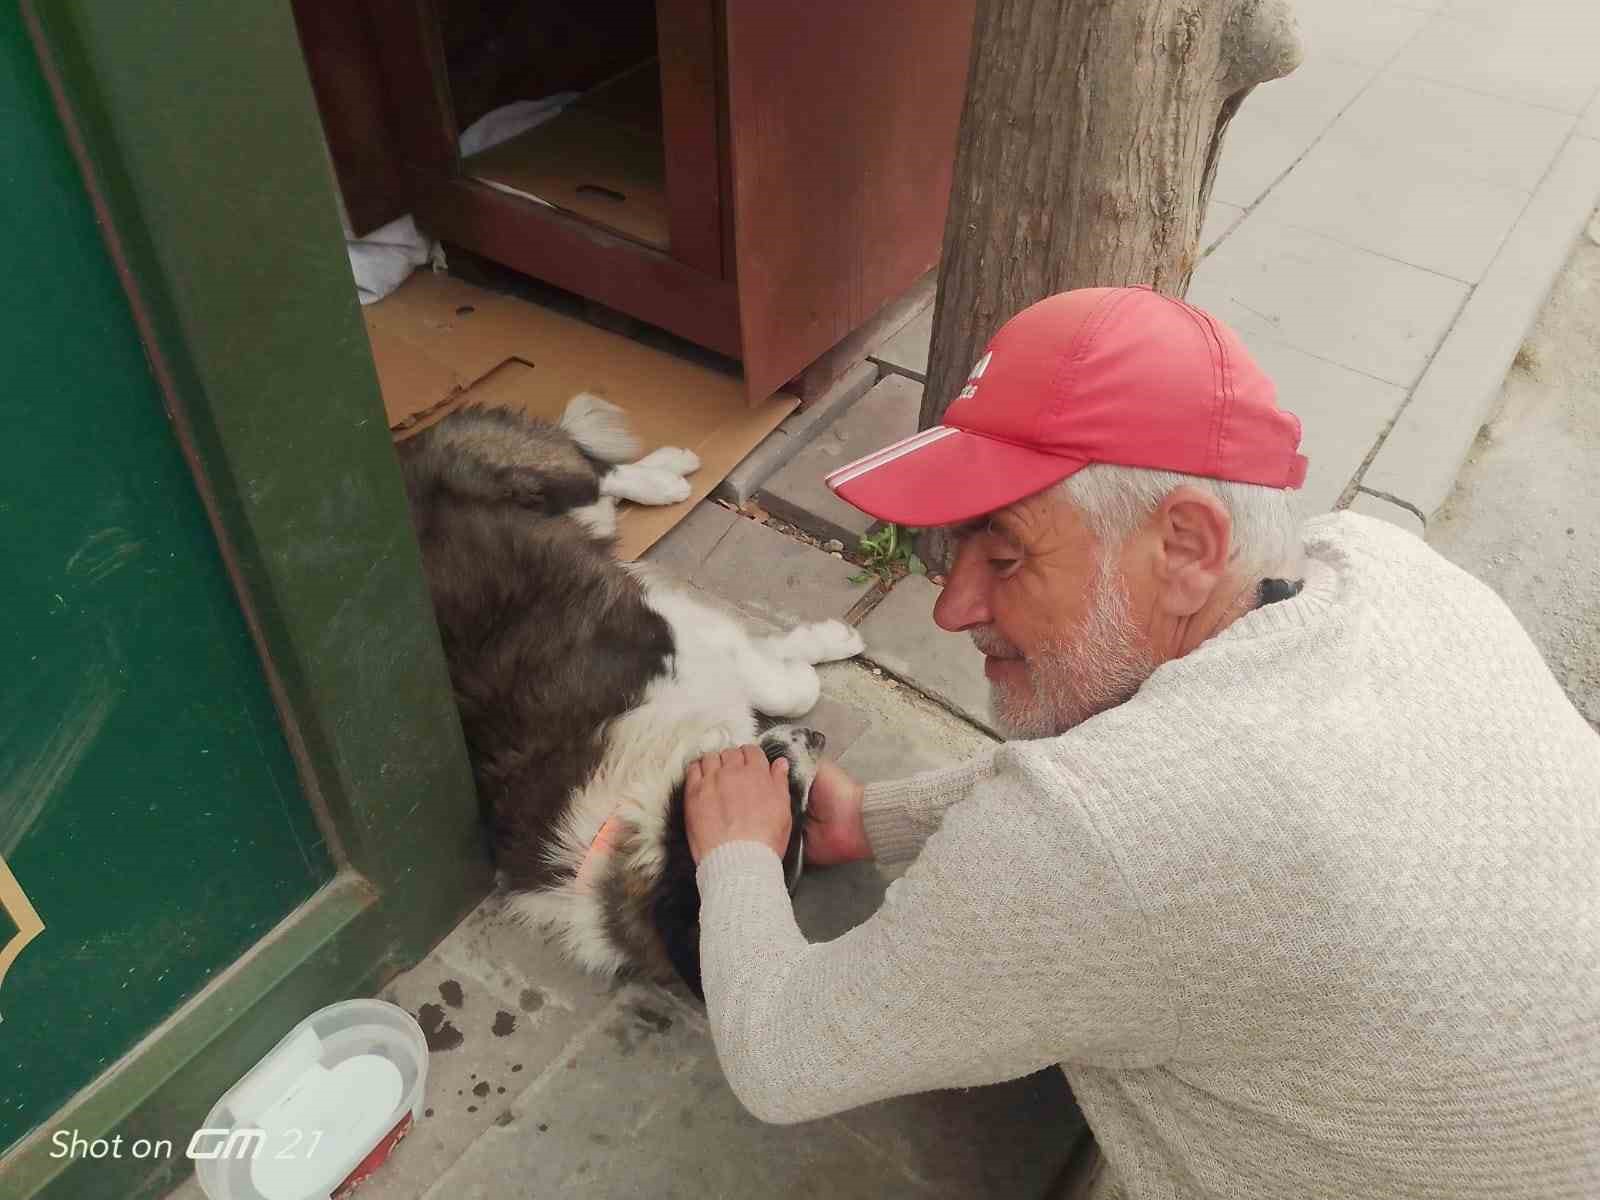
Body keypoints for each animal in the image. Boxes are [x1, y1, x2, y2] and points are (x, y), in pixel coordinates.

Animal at [396, 400, 864, 998]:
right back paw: (667, 475)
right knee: (597, 482)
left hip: (548, 487)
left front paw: (825, 645)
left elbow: (777, 684)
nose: (819, 740)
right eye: (792, 816)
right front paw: (812, 660)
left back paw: (669, 472)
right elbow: (789, 686)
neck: (629, 812)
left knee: (597, 473)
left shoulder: (676, 628)